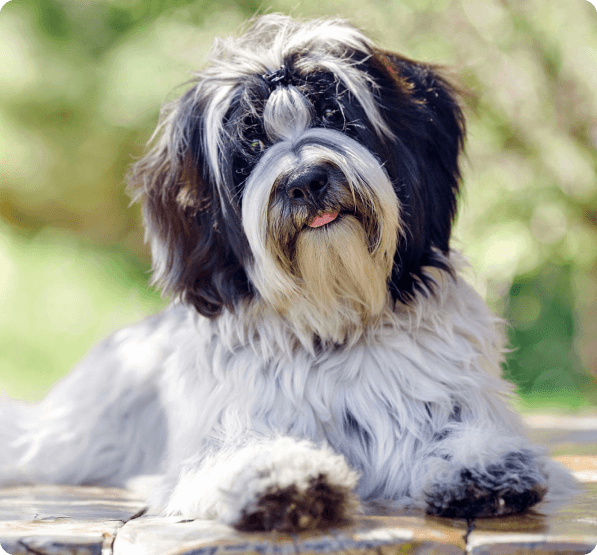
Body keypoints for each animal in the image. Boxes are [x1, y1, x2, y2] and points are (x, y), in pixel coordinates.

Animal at [0, 15, 572, 532]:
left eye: (337, 114)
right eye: (249, 145)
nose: (306, 180)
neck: (333, 323)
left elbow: (452, 431)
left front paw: (479, 461)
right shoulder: (220, 434)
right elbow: (234, 454)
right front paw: (279, 474)